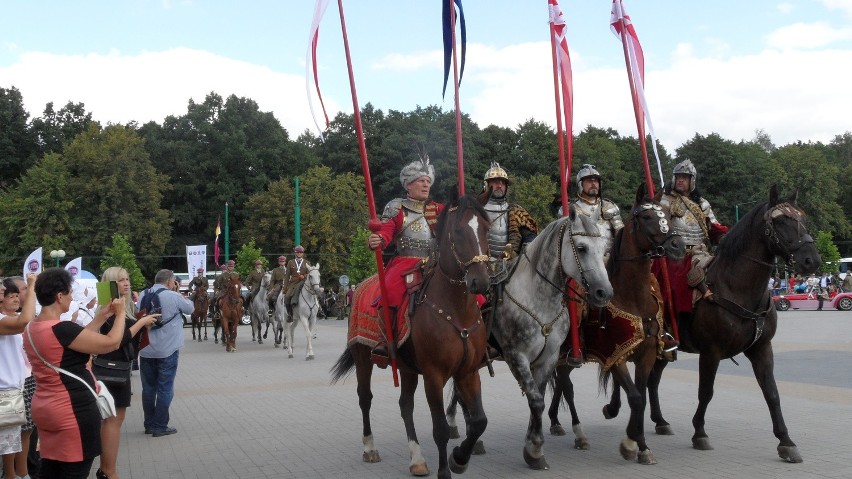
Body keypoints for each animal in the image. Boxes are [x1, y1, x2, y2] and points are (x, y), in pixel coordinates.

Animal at [332, 196, 492, 479]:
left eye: (485, 228)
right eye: (458, 231)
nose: (480, 281)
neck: (455, 310)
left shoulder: (468, 372)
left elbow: (478, 421)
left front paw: (459, 459)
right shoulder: (433, 375)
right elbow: (440, 429)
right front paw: (445, 470)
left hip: (406, 368)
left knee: (405, 405)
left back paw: (416, 459)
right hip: (362, 357)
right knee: (365, 398)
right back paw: (370, 448)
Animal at [544, 183, 684, 464]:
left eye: (665, 213)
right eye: (646, 216)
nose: (677, 245)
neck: (632, 296)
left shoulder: (646, 355)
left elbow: (640, 395)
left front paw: (638, 443)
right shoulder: (614, 355)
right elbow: (635, 397)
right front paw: (632, 443)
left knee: (562, 384)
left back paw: (556, 421)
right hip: (565, 354)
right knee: (566, 386)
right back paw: (577, 433)